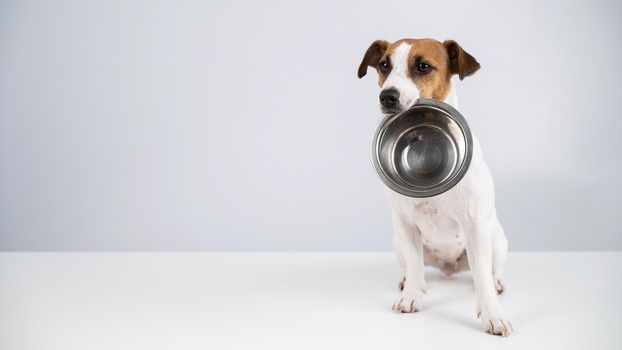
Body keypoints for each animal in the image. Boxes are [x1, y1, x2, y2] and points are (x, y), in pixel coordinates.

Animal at [358, 38, 516, 336]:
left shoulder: (475, 226)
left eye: (423, 66)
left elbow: (482, 279)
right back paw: (410, 282)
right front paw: (411, 296)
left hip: (496, 239)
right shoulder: (406, 224)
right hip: (398, 242)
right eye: (384, 65)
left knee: (491, 271)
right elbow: (415, 265)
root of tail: (448, 268)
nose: (387, 96)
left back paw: (497, 283)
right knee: (414, 266)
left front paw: (492, 314)